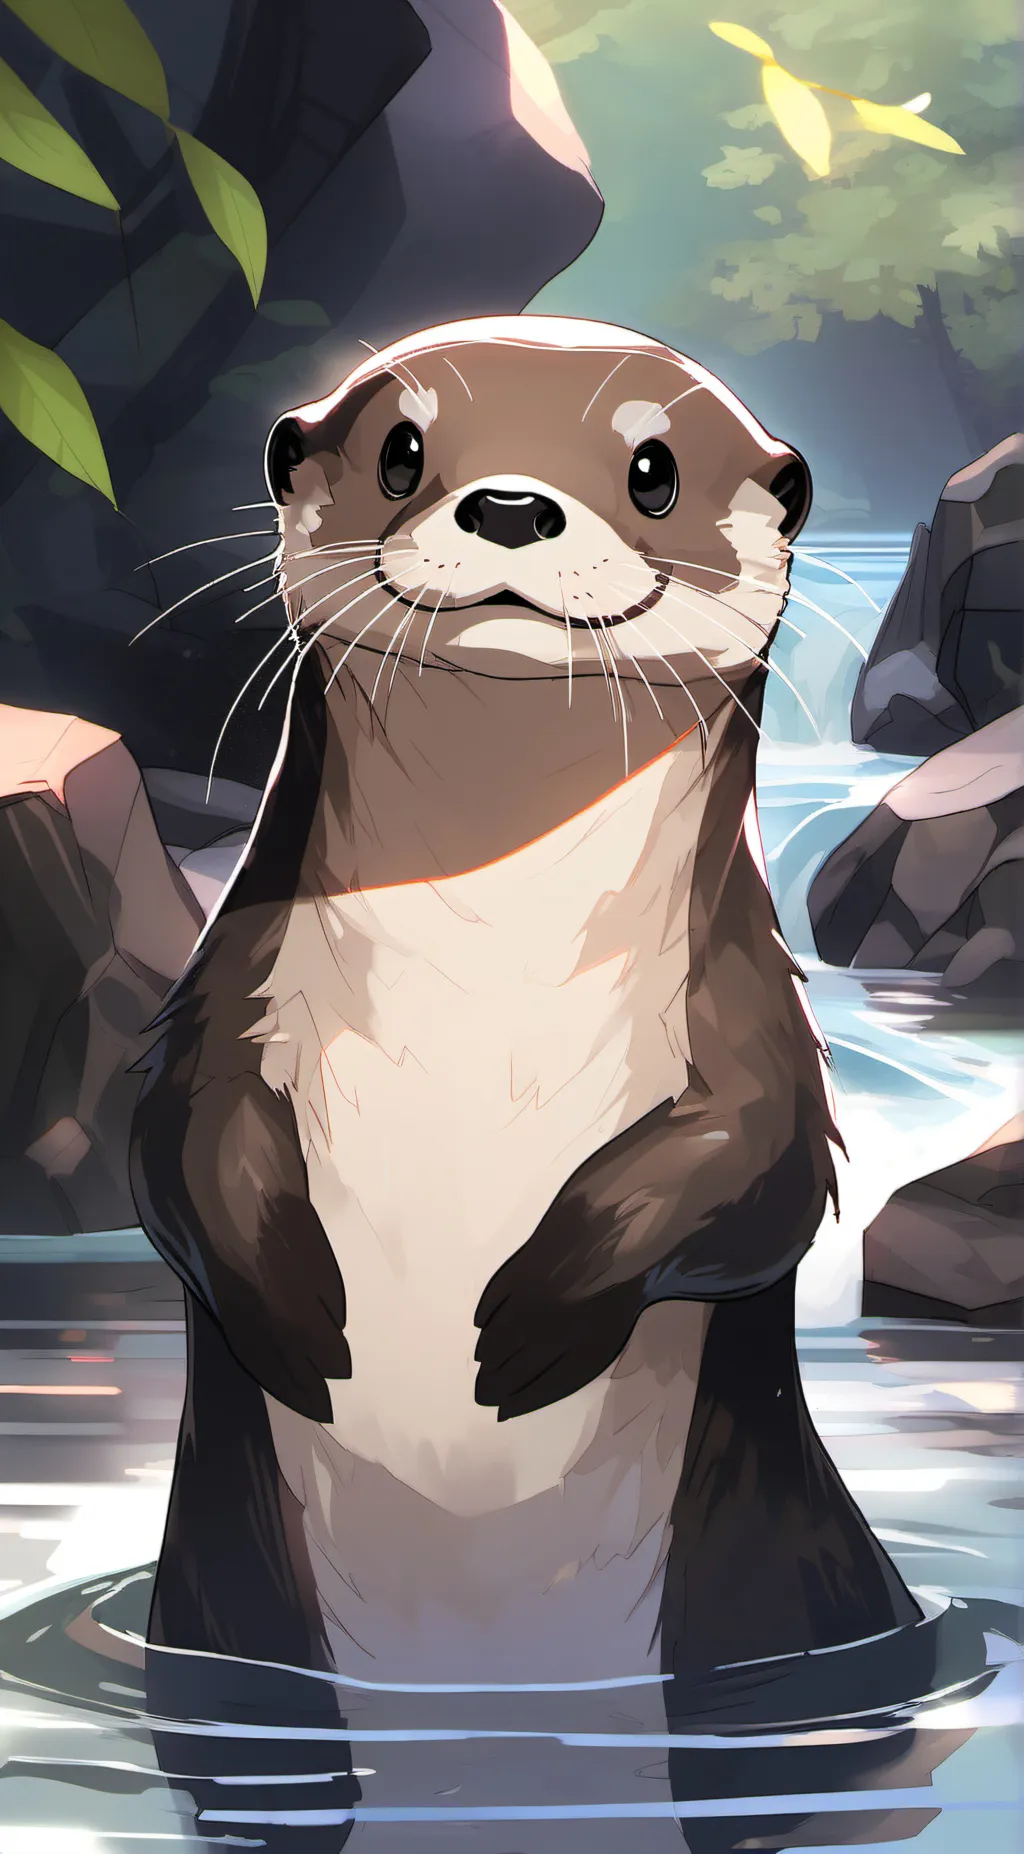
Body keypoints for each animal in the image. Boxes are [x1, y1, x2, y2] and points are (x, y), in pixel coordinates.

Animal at [130, 314, 919, 1695]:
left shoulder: (750, 1020)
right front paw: (297, 1314)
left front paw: (535, 1319)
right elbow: (175, 1141)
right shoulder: (227, 988)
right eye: (402, 451)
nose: (507, 505)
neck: (486, 983)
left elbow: (759, 1167)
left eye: (653, 470)